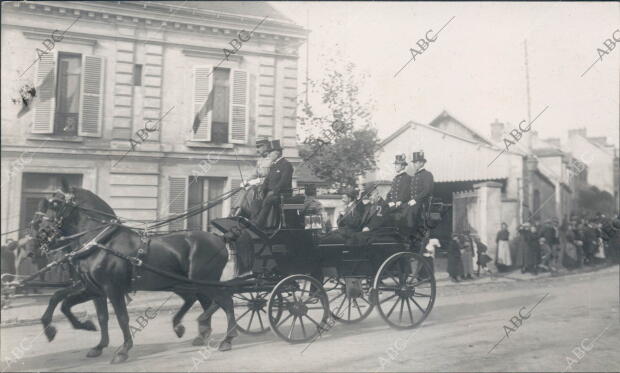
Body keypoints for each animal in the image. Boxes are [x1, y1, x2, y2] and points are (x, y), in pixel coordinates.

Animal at [29, 182, 247, 362]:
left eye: (56, 204)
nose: (39, 235)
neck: (101, 242)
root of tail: (220, 238)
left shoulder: (113, 289)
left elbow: (121, 318)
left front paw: (123, 350)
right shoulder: (93, 289)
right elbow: (72, 305)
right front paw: (87, 335)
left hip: (204, 280)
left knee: (224, 299)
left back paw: (227, 339)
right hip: (187, 283)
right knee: (203, 301)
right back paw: (195, 330)